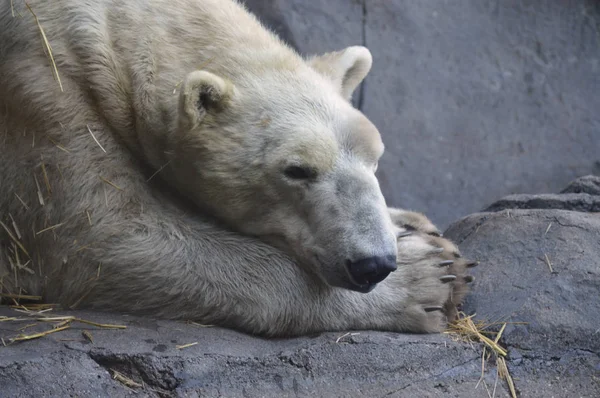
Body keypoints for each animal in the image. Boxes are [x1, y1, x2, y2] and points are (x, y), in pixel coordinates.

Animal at [0, 0, 474, 336]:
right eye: (297, 170)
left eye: (374, 159)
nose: (373, 264)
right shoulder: (43, 89)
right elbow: (101, 239)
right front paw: (430, 278)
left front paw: (417, 228)